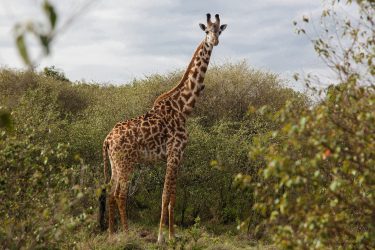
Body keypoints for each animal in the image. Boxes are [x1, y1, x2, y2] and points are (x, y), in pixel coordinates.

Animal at [100, 13, 228, 242]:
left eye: (219, 31)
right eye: (206, 31)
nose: (214, 41)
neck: (184, 108)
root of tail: (107, 139)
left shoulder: (178, 156)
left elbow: (173, 196)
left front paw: (173, 235)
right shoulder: (173, 153)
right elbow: (165, 195)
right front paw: (161, 237)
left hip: (115, 164)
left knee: (111, 193)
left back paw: (112, 235)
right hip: (126, 163)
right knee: (120, 194)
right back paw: (126, 234)